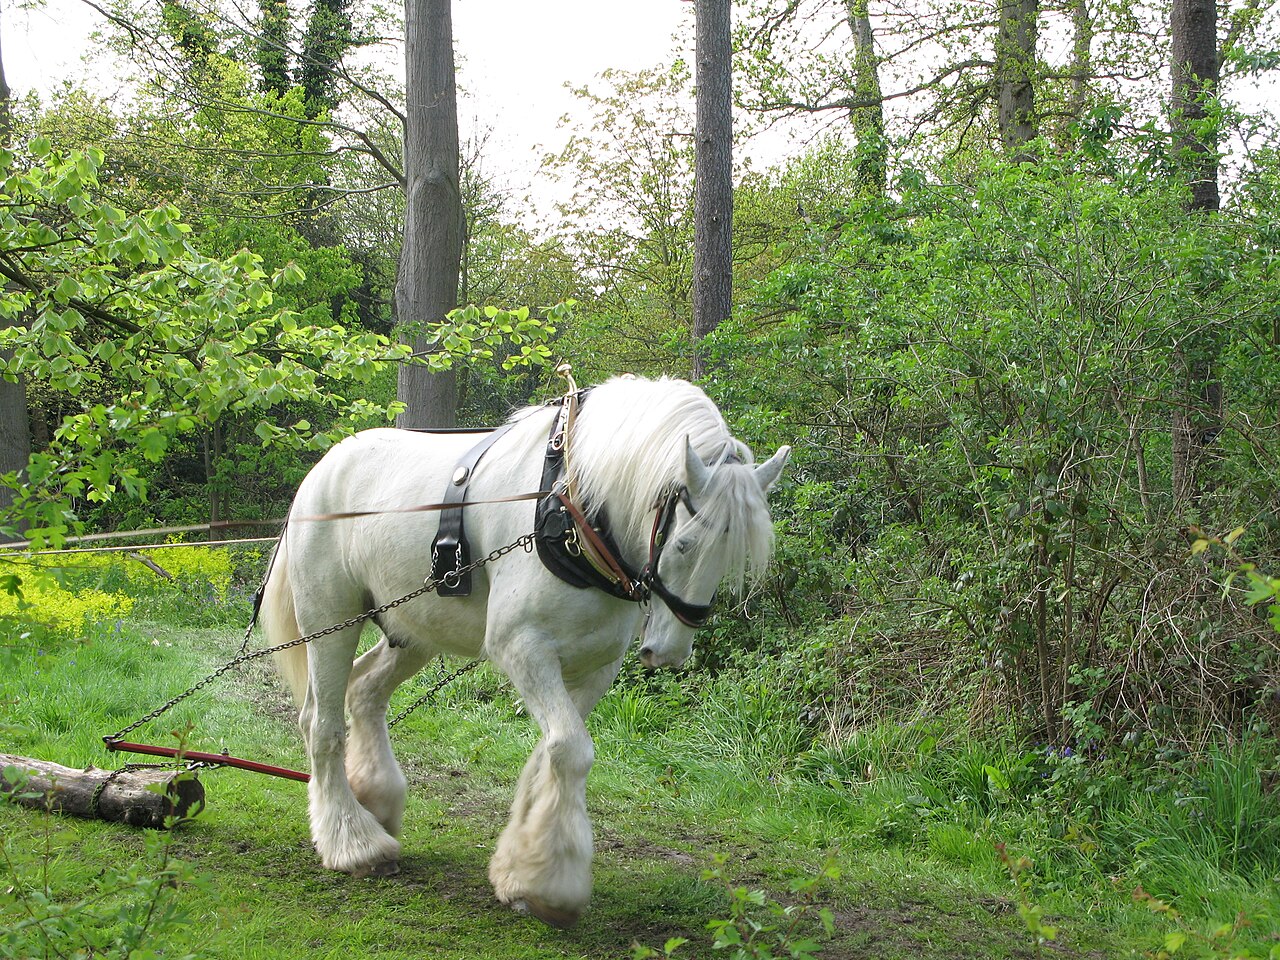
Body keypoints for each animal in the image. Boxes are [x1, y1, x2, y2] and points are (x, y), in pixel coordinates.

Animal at [260, 375, 790, 927]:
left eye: (730, 559)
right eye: (685, 544)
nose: (669, 651)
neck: (572, 507)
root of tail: (321, 470)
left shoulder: (595, 667)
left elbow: (551, 753)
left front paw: (522, 867)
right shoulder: (522, 647)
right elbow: (571, 749)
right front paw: (549, 887)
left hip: (413, 628)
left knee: (363, 691)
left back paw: (375, 803)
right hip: (329, 620)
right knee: (321, 725)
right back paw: (353, 841)